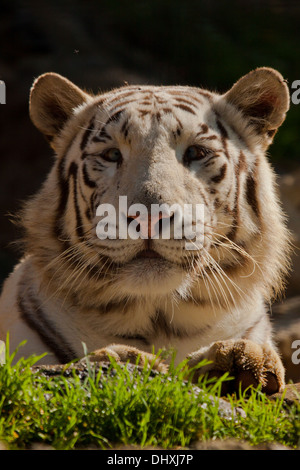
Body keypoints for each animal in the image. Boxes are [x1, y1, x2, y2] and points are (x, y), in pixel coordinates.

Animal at [0, 67, 290, 392]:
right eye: (112, 155)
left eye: (196, 152)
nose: (149, 216)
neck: (159, 318)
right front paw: (124, 359)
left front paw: (243, 360)